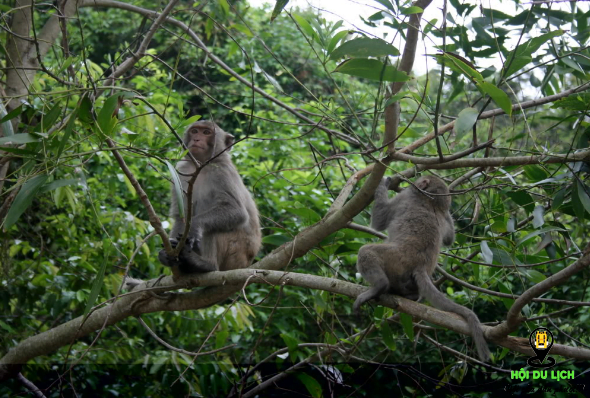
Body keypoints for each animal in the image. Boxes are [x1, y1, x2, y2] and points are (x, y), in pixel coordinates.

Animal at [157, 120, 262, 276]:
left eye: (206, 132)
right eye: (195, 131)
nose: (196, 139)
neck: (201, 166)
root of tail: (246, 264)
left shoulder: (222, 172)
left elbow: (237, 211)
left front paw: (194, 225)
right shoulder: (182, 170)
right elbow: (181, 216)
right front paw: (167, 254)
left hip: (236, 253)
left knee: (212, 228)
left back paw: (205, 265)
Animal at [354, 176, 492, 362]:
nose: (416, 181)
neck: (429, 199)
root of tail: (421, 266)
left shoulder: (404, 197)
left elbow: (379, 221)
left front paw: (383, 183)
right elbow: (449, 239)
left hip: (395, 258)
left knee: (366, 252)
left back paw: (380, 286)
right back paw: (408, 295)